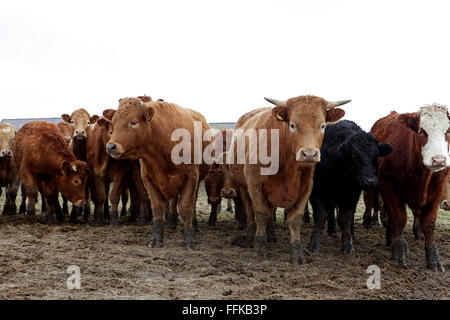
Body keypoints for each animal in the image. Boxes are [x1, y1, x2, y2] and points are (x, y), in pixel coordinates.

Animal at [106, 97, 213, 248]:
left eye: (133, 122)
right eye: (114, 123)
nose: (110, 146)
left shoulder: (191, 177)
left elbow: (186, 207)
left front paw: (190, 239)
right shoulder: (149, 180)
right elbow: (158, 208)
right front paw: (156, 238)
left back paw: (194, 225)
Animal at [227, 94, 350, 264]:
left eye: (322, 125)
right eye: (292, 125)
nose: (309, 154)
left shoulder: (305, 188)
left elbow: (294, 219)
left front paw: (297, 253)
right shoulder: (255, 185)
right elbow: (261, 213)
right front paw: (260, 246)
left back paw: (271, 236)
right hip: (244, 187)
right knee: (250, 210)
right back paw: (251, 235)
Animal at [308, 120, 392, 255]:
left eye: (376, 156)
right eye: (355, 156)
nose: (371, 181)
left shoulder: (351, 195)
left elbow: (346, 218)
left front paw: (348, 244)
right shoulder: (317, 192)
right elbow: (320, 217)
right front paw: (314, 244)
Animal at [372, 105, 450, 272]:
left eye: (447, 131)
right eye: (421, 131)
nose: (439, 159)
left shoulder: (437, 192)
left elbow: (429, 224)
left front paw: (434, 259)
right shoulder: (389, 187)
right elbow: (398, 218)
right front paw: (398, 253)